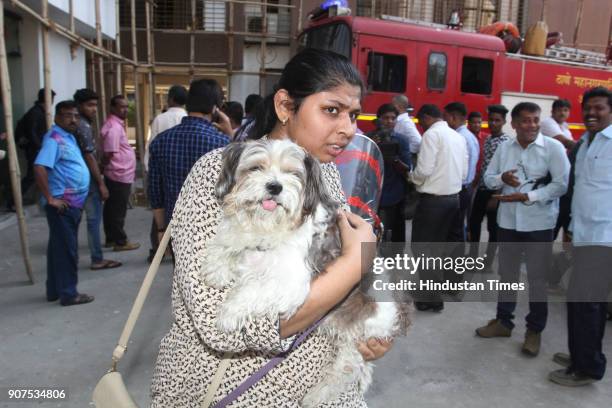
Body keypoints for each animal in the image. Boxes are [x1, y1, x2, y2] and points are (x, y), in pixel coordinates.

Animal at [202, 139, 412, 404]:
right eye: (256, 168)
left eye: (293, 173)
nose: (274, 186)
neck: (272, 225)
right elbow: (231, 240)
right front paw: (217, 267)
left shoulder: (291, 283)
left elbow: (252, 290)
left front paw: (229, 313)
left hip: (361, 330)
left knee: (348, 369)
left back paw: (317, 395)